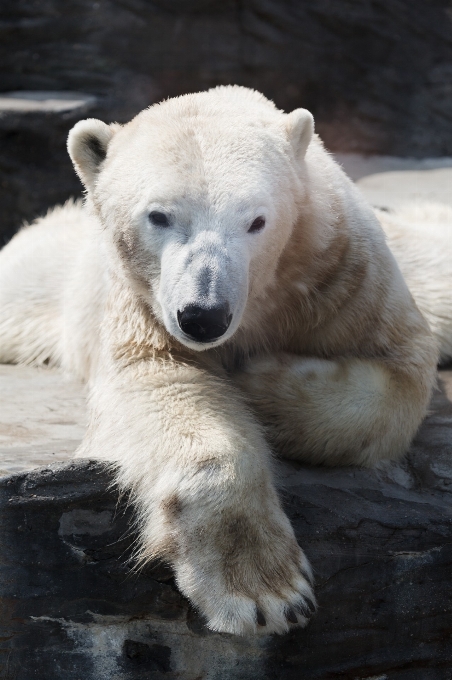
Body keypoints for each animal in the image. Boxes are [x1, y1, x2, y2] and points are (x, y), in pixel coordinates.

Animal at [0, 86, 450, 636]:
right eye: (159, 215)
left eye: (257, 220)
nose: (203, 316)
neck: (267, 291)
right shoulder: (142, 309)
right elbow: (164, 385)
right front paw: (265, 592)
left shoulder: (345, 273)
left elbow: (402, 372)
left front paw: (259, 382)